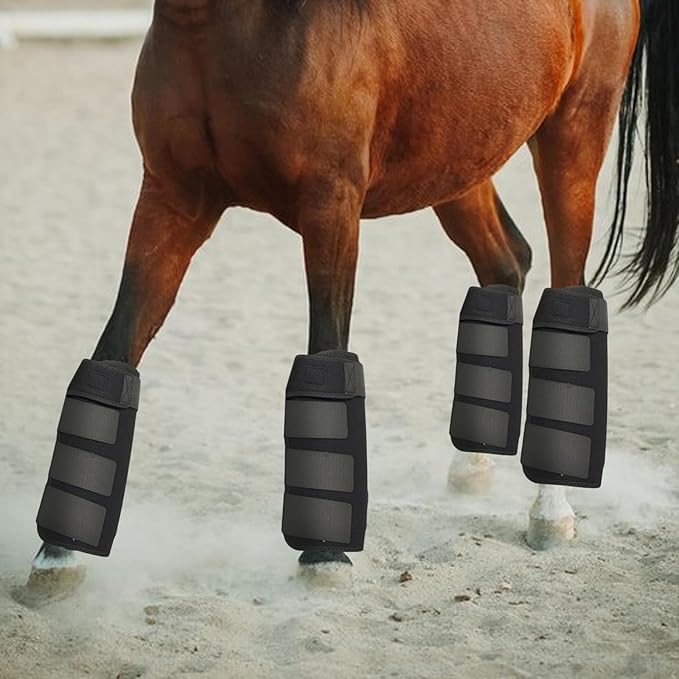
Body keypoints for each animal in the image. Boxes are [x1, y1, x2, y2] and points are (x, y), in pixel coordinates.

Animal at [30, 0, 679, 585]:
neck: (228, 24)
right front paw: (58, 554)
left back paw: (550, 510)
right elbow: (116, 349)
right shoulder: (172, 198)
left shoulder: (331, 207)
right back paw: (472, 466)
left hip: (573, 139)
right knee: (505, 264)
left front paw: (323, 555)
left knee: (568, 292)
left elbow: (326, 351)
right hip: (462, 161)